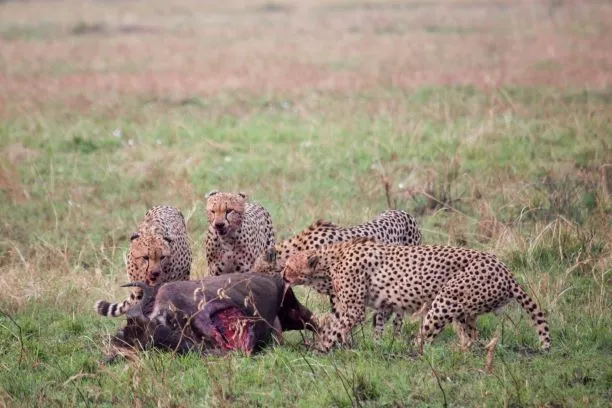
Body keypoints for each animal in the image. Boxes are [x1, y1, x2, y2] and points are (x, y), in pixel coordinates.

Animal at [251, 210, 424, 338]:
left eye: (258, 272)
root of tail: (405, 212)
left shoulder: (339, 291)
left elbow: (344, 317)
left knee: (397, 318)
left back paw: (393, 339)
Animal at [284, 237, 552, 352]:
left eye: (288, 266)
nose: (283, 275)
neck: (328, 263)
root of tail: (506, 270)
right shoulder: (376, 305)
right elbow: (356, 325)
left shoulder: (354, 308)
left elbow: (336, 328)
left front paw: (322, 349)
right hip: (464, 310)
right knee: (472, 335)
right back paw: (464, 352)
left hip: (445, 299)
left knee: (426, 339)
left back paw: (410, 352)